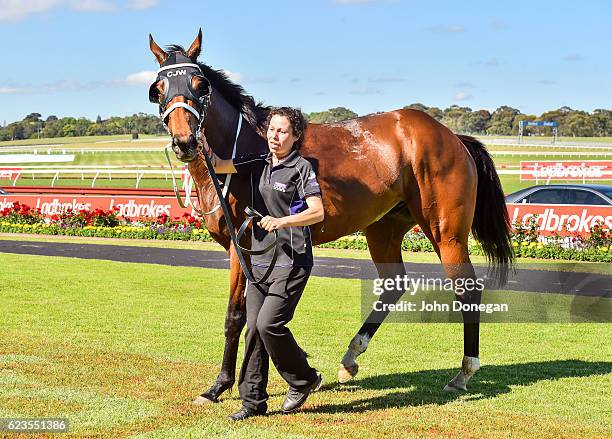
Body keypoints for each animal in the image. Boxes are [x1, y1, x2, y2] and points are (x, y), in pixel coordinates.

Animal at [147, 29, 512, 404]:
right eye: (158, 90)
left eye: (200, 84)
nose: (185, 142)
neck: (243, 153)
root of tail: (453, 136)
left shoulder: (241, 245)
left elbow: (235, 315)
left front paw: (219, 385)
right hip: (383, 228)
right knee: (394, 284)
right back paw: (350, 358)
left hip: (445, 231)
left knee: (466, 290)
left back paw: (464, 372)